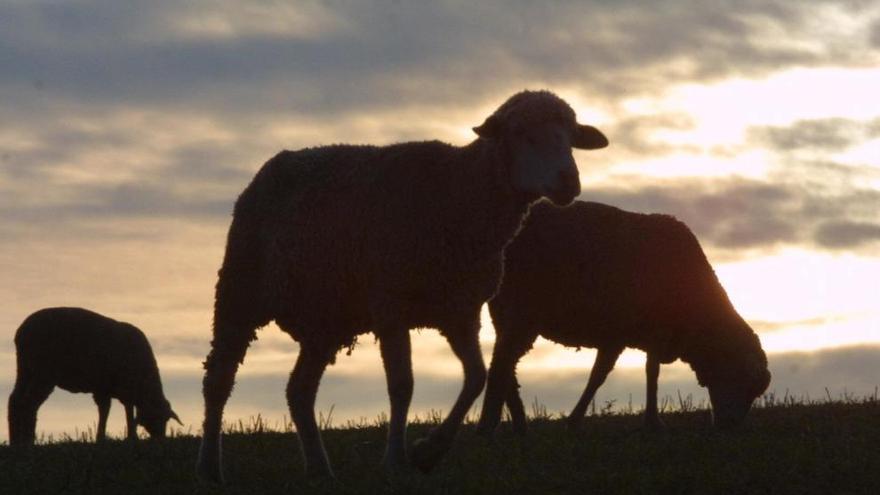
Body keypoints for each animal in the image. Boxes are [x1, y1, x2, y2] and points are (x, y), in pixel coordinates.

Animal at [6, 306, 182, 446]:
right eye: (158, 418)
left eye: (167, 419)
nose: (160, 438)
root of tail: (21, 332)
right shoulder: (107, 387)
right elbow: (108, 410)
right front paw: (108, 437)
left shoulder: (115, 389)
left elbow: (123, 409)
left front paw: (127, 436)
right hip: (42, 372)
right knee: (28, 402)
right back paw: (27, 440)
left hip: (25, 369)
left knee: (15, 400)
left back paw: (17, 440)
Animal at [198, 90, 612, 484]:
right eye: (521, 133)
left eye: (571, 137)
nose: (568, 182)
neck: (458, 194)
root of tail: (269, 169)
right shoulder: (391, 305)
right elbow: (402, 385)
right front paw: (396, 460)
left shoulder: (461, 310)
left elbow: (476, 377)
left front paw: (429, 452)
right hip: (239, 289)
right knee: (218, 380)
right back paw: (210, 469)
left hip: (325, 321)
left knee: (299, 391)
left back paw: (319, 468)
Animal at [474, 200, 768, 436]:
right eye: (746, 384)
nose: (729, 426)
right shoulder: (649, 333)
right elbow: (647, 373)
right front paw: (652, 422)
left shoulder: (617, 335)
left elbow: (603, 375)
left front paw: (576, 420)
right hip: (523, 308)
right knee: (503, 361)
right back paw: (490, 425)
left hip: (504, 308)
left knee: (505, 360)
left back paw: (519, 423)